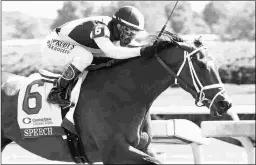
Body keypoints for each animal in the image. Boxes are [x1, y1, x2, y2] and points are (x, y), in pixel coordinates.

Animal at [1, 31, 231, 164]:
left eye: (217, 64)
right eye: (202, 65)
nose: (224, 103)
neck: (128, 91)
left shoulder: (143, 146)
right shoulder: (115, 151)